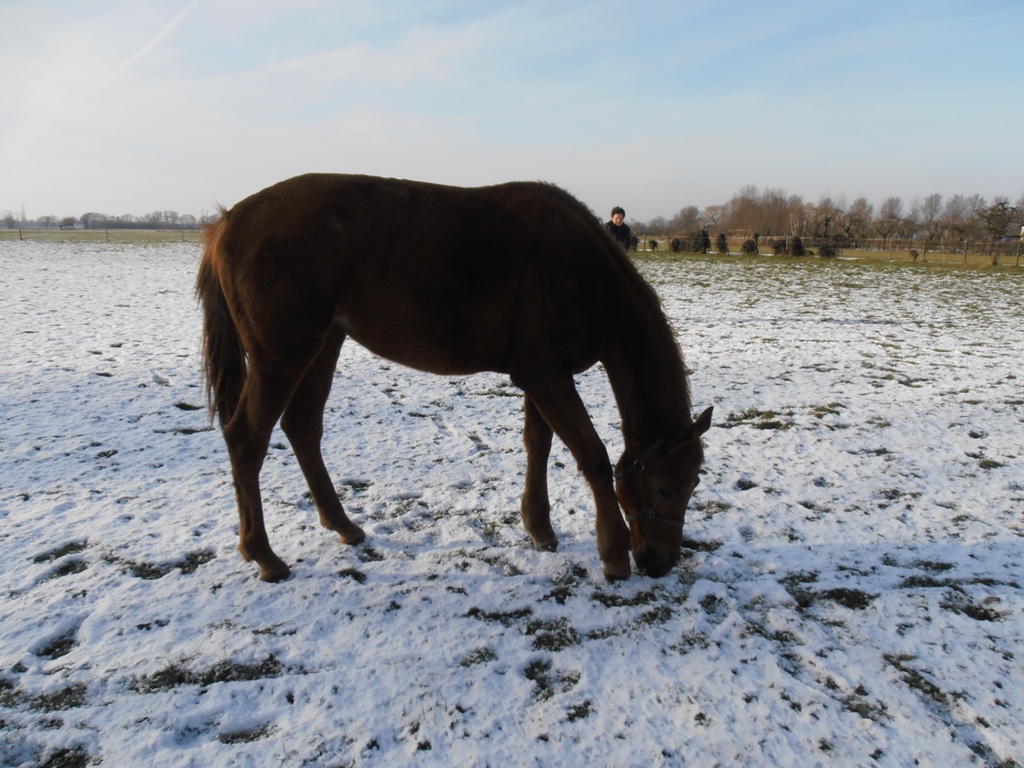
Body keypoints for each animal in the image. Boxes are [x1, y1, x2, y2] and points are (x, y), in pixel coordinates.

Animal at [197, 174, 712, 581]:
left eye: (692, 486)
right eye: (666, 488)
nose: (659, 562)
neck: (585, 274)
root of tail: (226, 223)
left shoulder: (541, 375)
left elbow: (539, 444)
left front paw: (540, 528)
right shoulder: (546, 375)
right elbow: (593, 456)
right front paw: (613, 552)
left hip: (323, 345)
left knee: (302, 429)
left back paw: (343, 525)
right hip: (281, 355)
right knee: (247, 439)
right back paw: (264, 556)